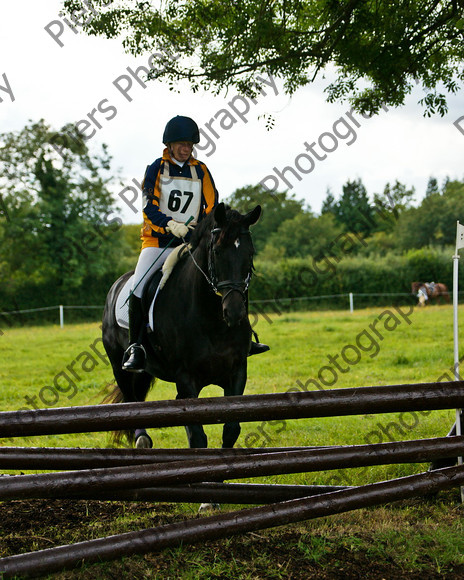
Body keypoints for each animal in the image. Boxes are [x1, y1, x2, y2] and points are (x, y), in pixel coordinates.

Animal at [101, 202, 260, 450]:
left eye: (250, 253)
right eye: (217, 251)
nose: (234, 313)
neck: (213, 321)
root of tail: (116, 285)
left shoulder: (237, 371)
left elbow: (231, 430)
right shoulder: (186, 379)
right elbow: (198, 438)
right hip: (119, 366)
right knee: (130, 400)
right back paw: (141, 439)